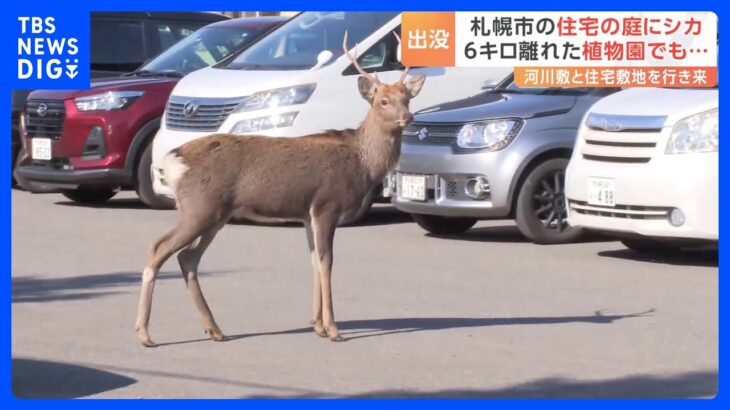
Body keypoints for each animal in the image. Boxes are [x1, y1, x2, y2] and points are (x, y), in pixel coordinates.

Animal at [134, 31, 424, 346]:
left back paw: (215, 329)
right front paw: (333, 329)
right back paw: (145, 332)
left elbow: (313, 260)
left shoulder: (307, 214)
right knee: (158, 247)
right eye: (383, 100)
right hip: (199, 207)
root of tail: (173, 159)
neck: (361, 161)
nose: (408, 118)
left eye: (407, 98)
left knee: (187, 257)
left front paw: (317, 325)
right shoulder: (327, 204)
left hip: (213, 214)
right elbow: (327, 261)